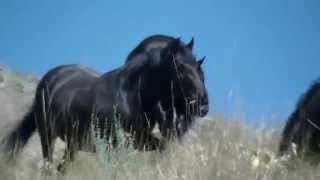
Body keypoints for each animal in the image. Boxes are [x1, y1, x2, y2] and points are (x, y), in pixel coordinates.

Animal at [3, 36, 209, 165]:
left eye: (198, 66)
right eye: (180, 66)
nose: (203, 105)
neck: (130, 96)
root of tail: (51, 77)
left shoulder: (139, 140)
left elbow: (162, 146)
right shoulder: (114, 145)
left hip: (72, 145)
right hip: (47, 137)